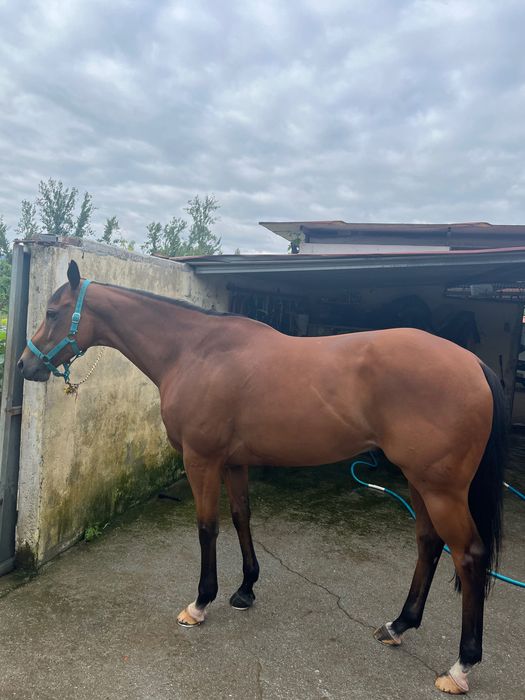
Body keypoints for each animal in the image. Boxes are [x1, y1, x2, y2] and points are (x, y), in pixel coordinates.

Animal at [17, 260, 506, 695]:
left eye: (53, 312)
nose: (25, 364)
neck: (193, 351)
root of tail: (474, 364)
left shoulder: (202, 460)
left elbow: (207, 527)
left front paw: (201, 602)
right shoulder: (234, 462)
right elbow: (241, 518)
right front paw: (246, 589)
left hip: (441, 490)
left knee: (469, 556)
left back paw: (461, 666)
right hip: (419, 483)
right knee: (429, 544)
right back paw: (399, 624)